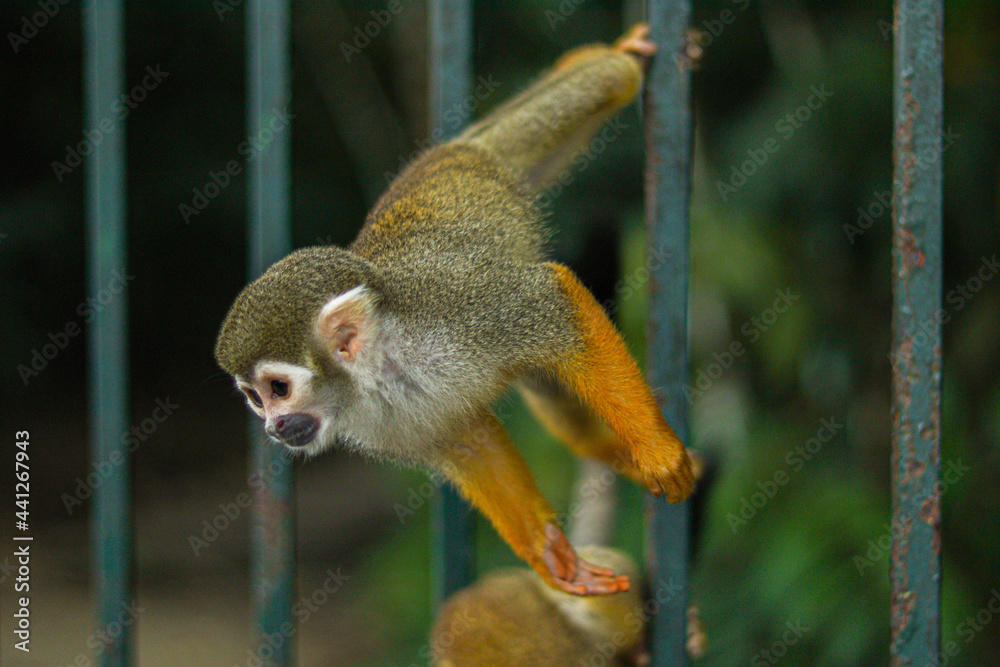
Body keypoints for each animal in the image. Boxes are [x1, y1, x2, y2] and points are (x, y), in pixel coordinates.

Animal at [214, 24, 695, 596]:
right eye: (254, 399)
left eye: (278, 389)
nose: (272, 426)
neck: (385, 365)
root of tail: (446, 152)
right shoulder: (386, 424)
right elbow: (469, 443)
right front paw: (547, 552)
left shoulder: (460, 307)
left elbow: (550, 296)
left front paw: (660, 453)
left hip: (501, 150)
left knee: (601, 84)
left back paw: (613, 58)